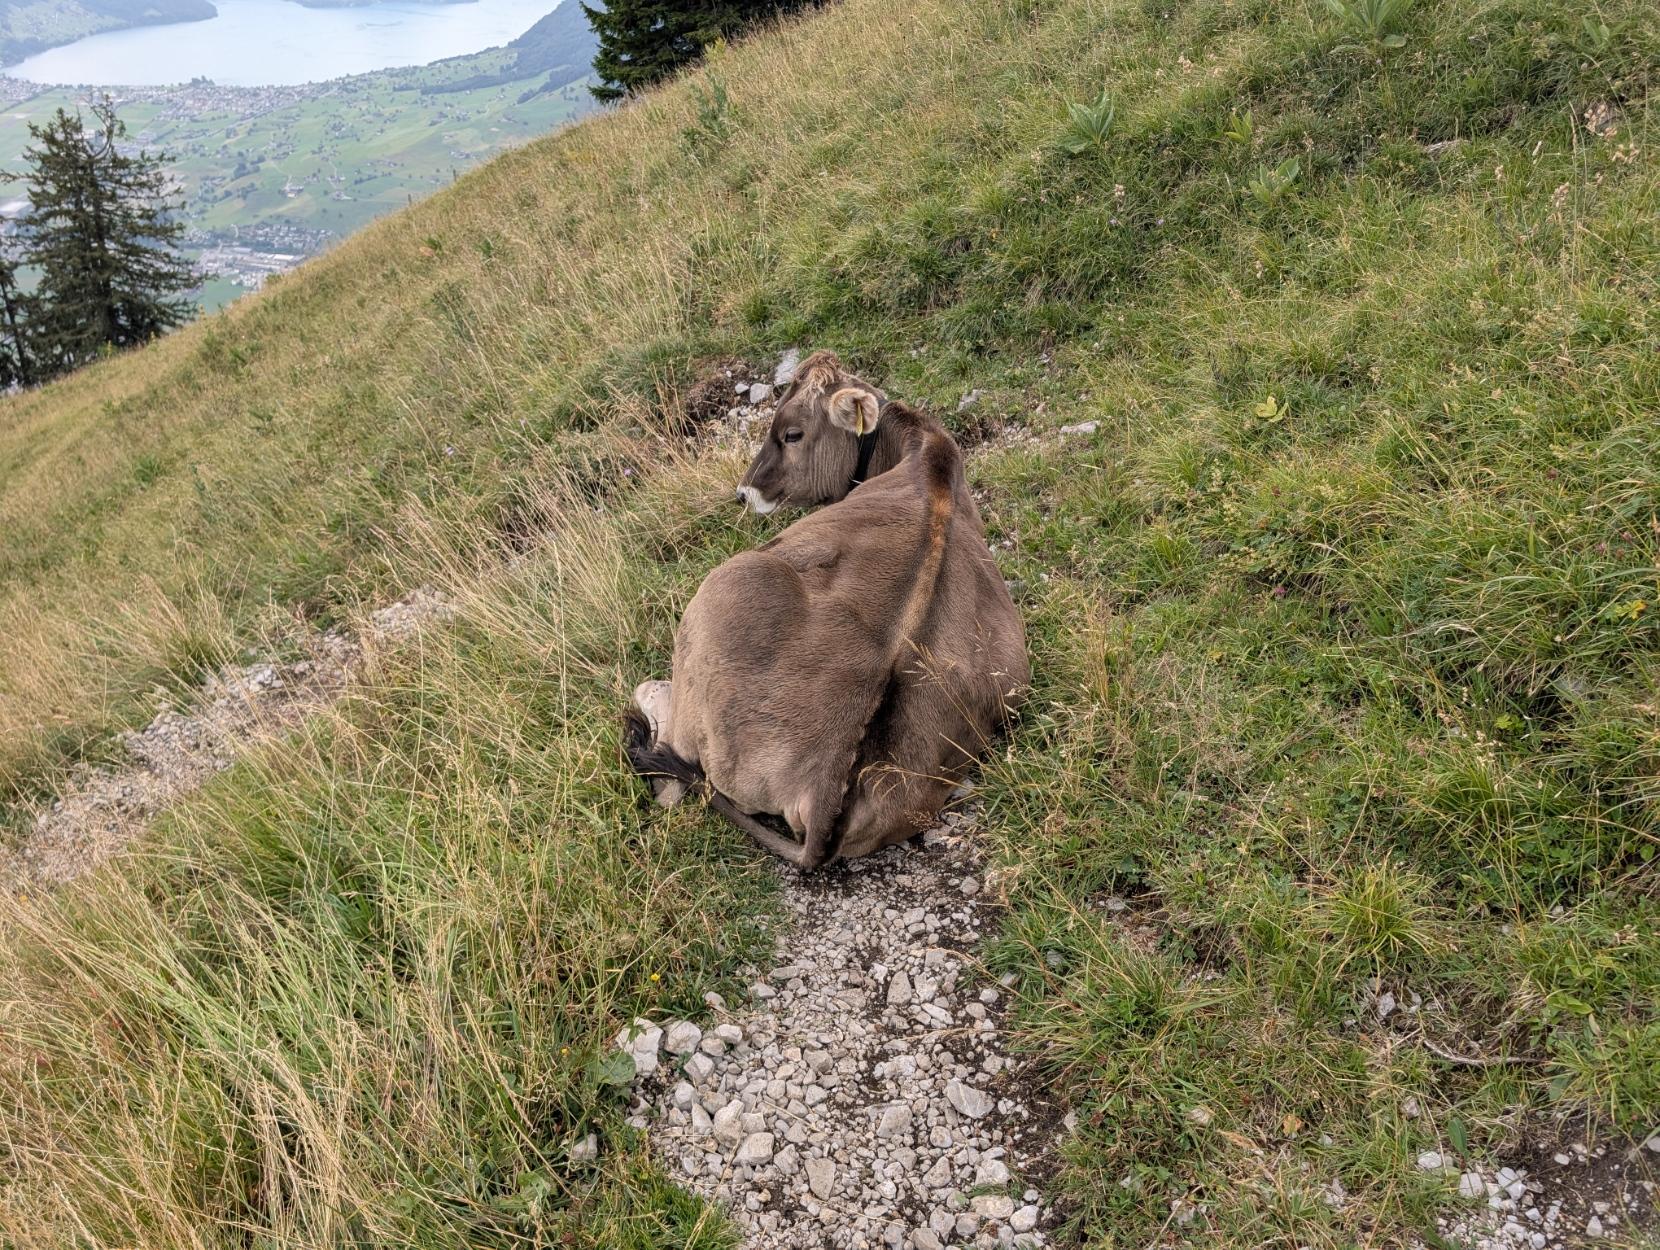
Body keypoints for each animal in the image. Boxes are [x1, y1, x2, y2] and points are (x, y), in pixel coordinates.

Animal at [624, 351, 1028, 870]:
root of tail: (820, 792)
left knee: (671, 781)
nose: (744, 492)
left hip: (728, 584)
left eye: (792, 433)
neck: (924, 456)